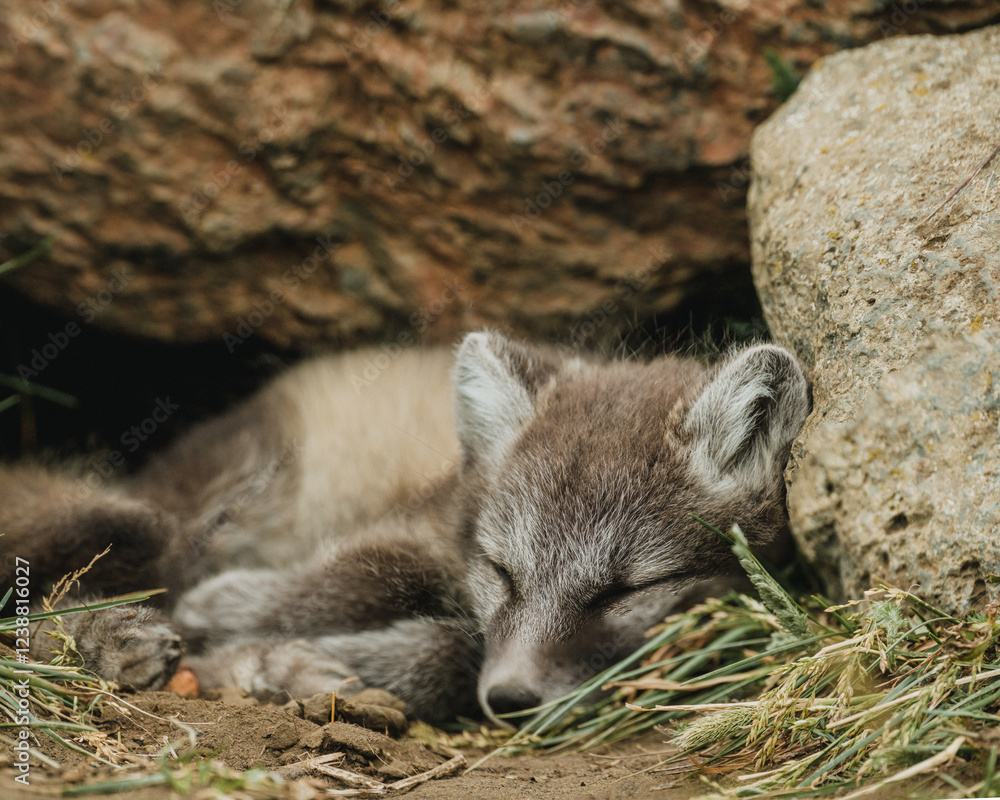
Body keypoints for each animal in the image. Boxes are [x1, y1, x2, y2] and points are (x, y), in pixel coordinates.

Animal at [1, 331, 809, 726]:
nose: (508, 699)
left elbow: (449, 650)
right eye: (502, 571)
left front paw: (279, 664)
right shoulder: (418, 527)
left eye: (624, 592)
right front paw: (226, 616)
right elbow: (370, 573)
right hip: (203, 504)